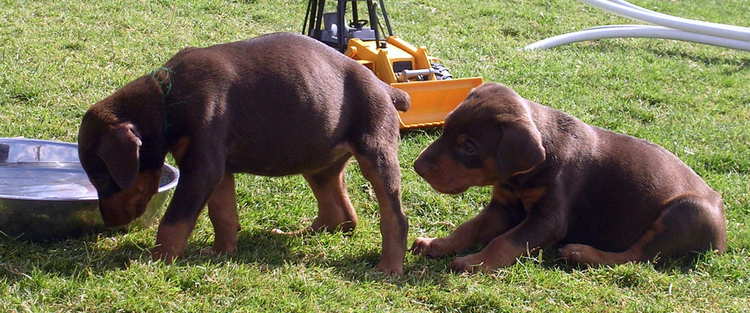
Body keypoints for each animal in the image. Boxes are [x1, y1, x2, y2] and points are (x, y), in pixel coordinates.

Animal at [76, 32, 412, 272]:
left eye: (102, 179)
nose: (109, 223)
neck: (167, 98)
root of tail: (385, 87)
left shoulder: (202, 168)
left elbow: (174, 221)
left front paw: (155, 259)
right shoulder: (218, 170)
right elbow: (222, 213)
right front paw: (220, 252)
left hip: (375, 152)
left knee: (394, 217)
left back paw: (389, 266)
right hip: (317, 159)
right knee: (340, 216)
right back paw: (293, 235)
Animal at [412, 82, 728, 270]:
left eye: (469, 146)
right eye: (445, 128)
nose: (417, 166)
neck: (520, 178)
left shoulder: (548, 219)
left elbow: (505, 241)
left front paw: (476, 262)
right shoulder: (504, 205)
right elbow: (469, 228)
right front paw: (437, 244)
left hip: (686, 212)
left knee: (637, 255)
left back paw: (581, 253)